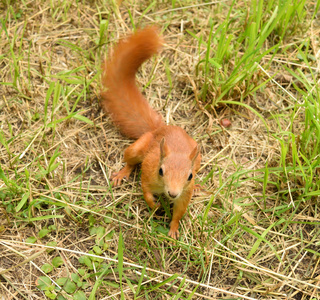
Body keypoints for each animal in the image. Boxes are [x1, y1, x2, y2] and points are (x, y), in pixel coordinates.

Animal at [100, 27, 200, 239]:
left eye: (189, 176)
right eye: (161, 170)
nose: (172, 193)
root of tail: (161, 128)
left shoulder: (184, 195)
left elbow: (179, 212)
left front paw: (173, 231)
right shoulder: (148, 174)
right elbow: (145, 191)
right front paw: (154, 206)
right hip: (138, 147)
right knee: (130, 160)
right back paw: (122, 174)